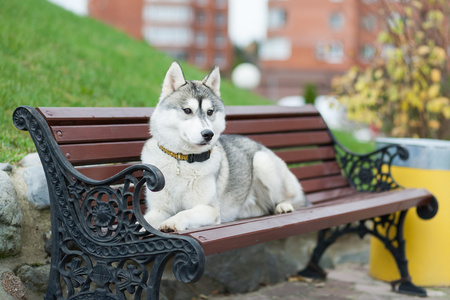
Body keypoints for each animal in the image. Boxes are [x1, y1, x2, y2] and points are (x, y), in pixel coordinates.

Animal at [142, 61, 308, 232]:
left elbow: (184, 213)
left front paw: (172, 222)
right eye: (187, 110)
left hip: (262, 162)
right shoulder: (159, 210)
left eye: (210, 112)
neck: (181, 159)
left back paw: (284, 206)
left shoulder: (210, 209)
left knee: (296, 199)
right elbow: (144, 220)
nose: (208, 134)